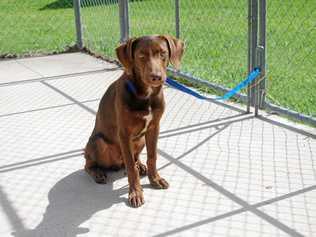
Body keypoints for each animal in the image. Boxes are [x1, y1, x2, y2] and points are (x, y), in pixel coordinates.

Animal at [84, 34, 184, 206]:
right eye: (141, 56)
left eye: (163, 53)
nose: (156, 77)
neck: (146, 95)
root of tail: (117, 164)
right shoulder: (124, 133)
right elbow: (130, 168)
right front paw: (136, 192)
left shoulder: (154, 128)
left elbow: (152, 157)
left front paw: (154, 179)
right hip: (98, 142)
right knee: (89, 163)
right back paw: (98, 172)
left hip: (140, 140)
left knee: (134, 158)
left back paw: (140, 165)